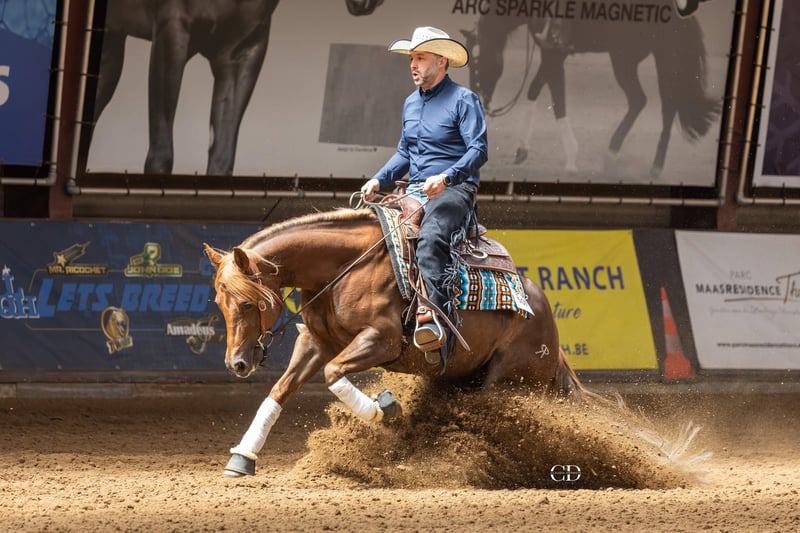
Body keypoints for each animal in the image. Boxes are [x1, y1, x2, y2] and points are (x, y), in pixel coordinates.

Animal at [203, 207, 589, 477]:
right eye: (220, 302)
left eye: (248, 303)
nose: (236, 363)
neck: (343, 267)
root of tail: (545, 320)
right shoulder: (315, 342)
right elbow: (279, 391)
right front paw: (242, 458)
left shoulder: (382, 341)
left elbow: (333, 373)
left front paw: (383, 407)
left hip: (508, 383)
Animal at [463, 2, 721, 178]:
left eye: (476, 62)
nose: (479, 99)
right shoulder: (552, 53)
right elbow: (537, 90)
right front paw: (521, 150)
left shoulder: (554, 52)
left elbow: (557, 99)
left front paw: (571, 159)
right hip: (638, 59)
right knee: (650, 103)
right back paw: (622, 158)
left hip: (645, 59)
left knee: (658, 104)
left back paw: (645, 163)